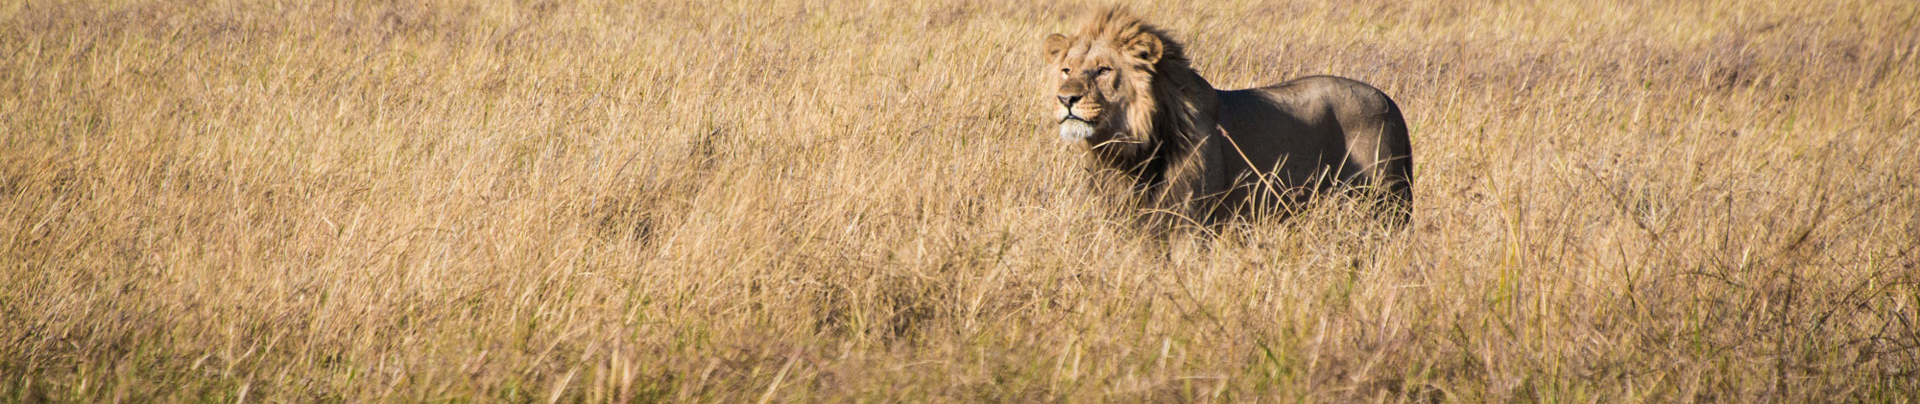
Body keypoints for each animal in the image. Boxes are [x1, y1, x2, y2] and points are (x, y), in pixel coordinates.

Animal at [1043, 8, 1413, 227]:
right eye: (1066, 70)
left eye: (1104, 70)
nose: (1066, 99)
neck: (1131, 149)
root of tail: (1387, 100)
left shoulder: (1191, 223)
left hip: (1387, 204)